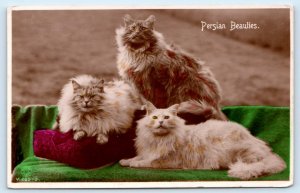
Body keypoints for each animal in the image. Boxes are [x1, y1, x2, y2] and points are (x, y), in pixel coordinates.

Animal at [119, 102, 286, 179]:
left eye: (166, 117)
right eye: (154, 117)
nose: (160, 122)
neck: (160, 140)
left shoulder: (166, 160)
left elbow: (147, 162)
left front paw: (134, 164)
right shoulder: (149, 151)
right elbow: (138, 157)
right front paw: (125, 161)